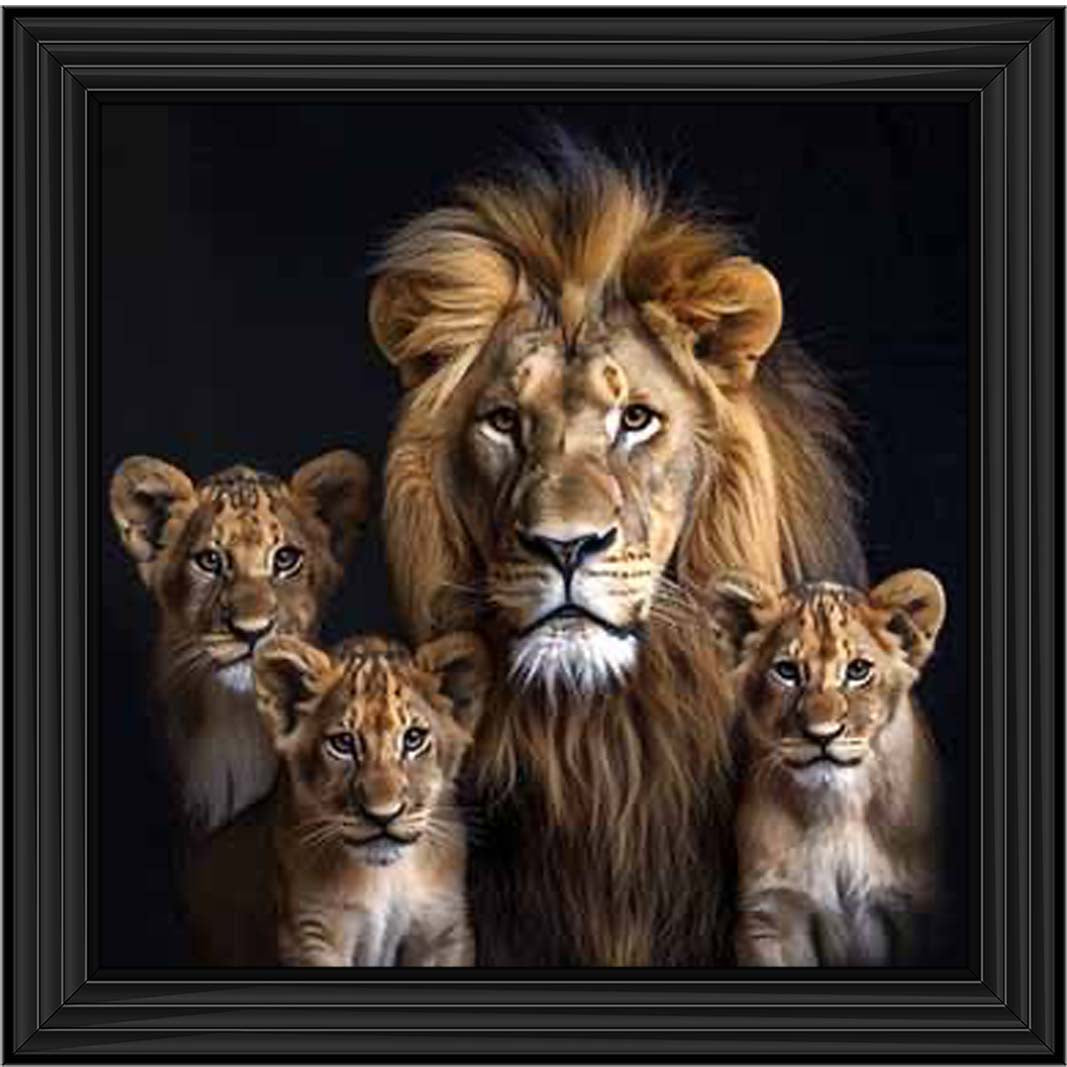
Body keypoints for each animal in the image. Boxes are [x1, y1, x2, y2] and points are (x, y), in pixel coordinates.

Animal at [185, 631, 487, 967]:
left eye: (413, 739)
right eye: (343, 743)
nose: (383, 816)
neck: (385, 876)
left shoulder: (444, 932)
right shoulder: (312, 935)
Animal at [710, 569, 945, 966]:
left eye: (858, 670)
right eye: (786, 671)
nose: (822, 735)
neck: (837, 808)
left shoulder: (919, 908)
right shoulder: (771, 916)